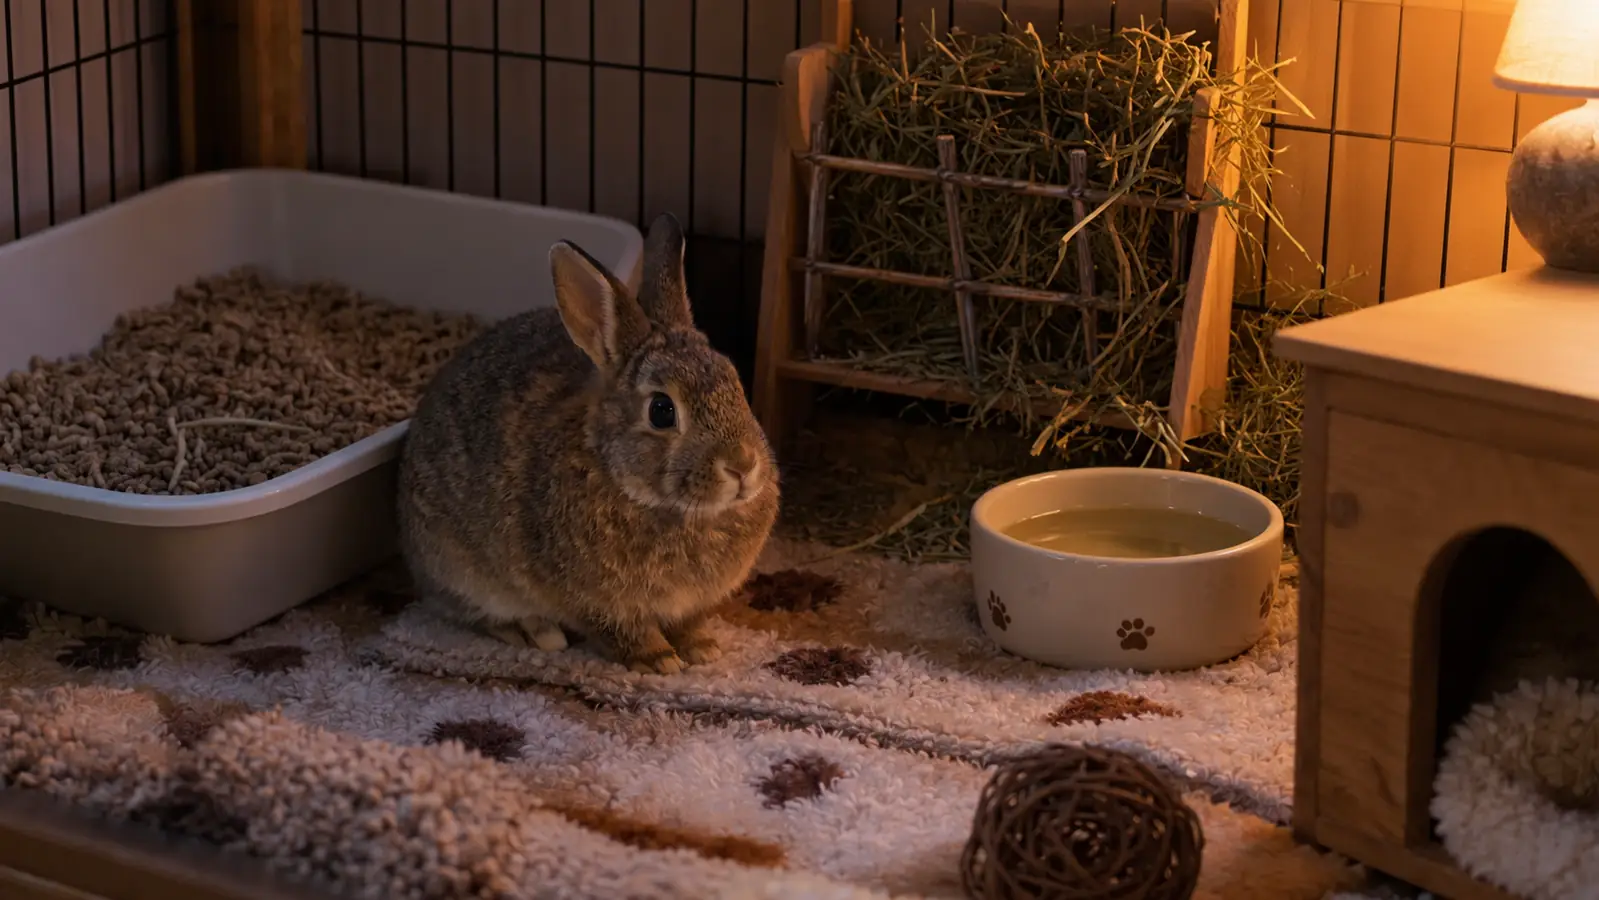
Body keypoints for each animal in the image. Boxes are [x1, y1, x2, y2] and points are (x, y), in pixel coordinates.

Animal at [396, 213, 779, 674]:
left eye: (735, 382)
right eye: (662, 410)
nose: (742, 464)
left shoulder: (692, 603)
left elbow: (689, 623)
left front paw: (703, 648)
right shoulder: (597, 604)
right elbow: (623, 631)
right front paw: (658, 660)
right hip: (461, 569)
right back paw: (534, 632)